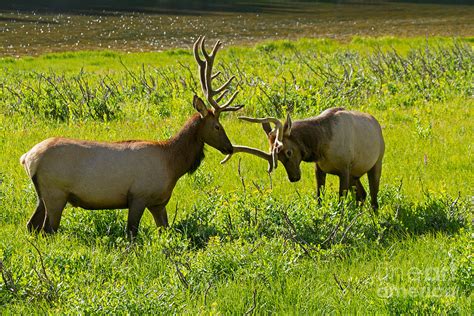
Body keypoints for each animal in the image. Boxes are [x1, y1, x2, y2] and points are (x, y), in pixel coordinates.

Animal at [19, 35, 243, 238]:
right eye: (217, 126)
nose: (230, 147)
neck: (173, 164)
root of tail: (27, 158)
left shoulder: (158, 203)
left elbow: (165, 230)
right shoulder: (138, 196)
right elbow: (132, 233)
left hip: (42, 196)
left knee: (31, 226)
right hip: (56, 193)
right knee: (48, 229)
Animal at [223, 107, 386, 211]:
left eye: (288, 152)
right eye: (278, 158)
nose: (294, 177)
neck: (321, 146)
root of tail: (377, 124)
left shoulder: (345, 169)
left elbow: (341, 199)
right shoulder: (319, 168)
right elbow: (319, 197)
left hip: (376, 163)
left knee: (373, 197)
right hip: (355, 175)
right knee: (362, 195)